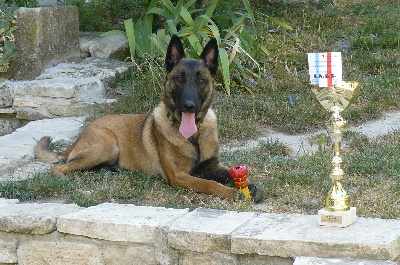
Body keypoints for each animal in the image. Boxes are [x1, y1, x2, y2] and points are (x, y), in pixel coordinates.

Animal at [35, 34, 262, 201]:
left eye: (201, 80)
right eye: (179, 78)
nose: (189, 106)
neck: (194, 137)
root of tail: (79, 136)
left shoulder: (211, 166)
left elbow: (228, 174)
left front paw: (249, 187)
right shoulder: (179, 176)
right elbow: (209, 184)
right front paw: (232, 193)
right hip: (107, 146)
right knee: (58, 169)